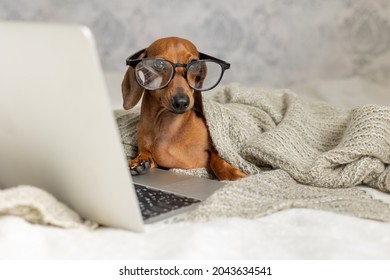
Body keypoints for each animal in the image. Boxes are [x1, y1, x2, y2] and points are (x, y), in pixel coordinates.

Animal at [122, 37, 245, 180]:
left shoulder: (216, 146)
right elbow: (147, 154)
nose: (181, 102)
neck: (167, 126)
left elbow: (217, 160)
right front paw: (140, 161)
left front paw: (237, 176)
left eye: (194, 64)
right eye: (159, 64)